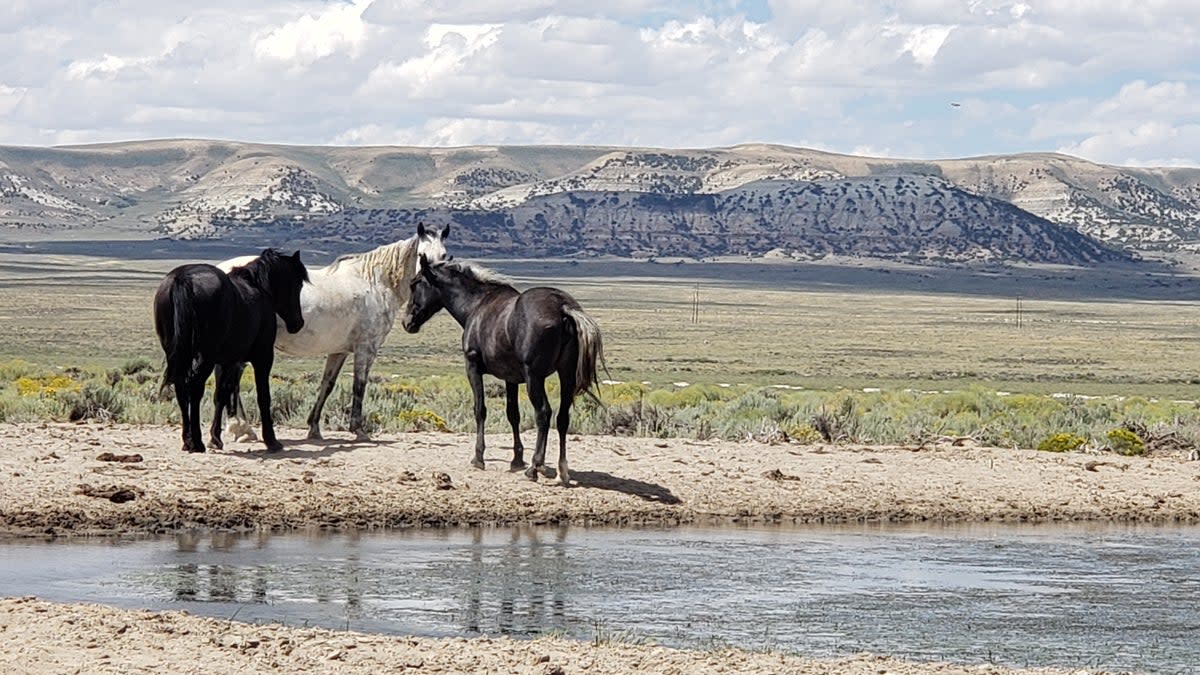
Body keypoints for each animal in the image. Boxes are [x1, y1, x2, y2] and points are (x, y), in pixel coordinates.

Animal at [152, 247, 309, 451]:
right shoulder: (263, 357)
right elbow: (263, 396)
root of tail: (183, 279)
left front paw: (215, 438)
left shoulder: (229, 361)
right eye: (296, 284)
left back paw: (187, 440)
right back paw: (196, 442)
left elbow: (221, 395)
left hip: (180, 354)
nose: (298, 323)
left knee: (181, 387)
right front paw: (271, 440)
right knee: (195, 388)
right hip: (206, 357)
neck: (257, 288)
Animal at [219, 223, 451, 439]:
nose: (431, 283)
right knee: (233, 380)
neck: (376, 283)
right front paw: (358, 430)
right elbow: (359, 385)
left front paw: (313, 428)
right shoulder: (366, 349)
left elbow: (327, 385)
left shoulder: (339, 351)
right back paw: (241, 429)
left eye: (444, 256)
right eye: (421, 255)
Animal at [400, 254, 604, 480]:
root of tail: (563, 308)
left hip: (535, 377)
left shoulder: (473, 368)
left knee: (543, 414)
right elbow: (513, 414)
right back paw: (562, 470)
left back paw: (535, 466)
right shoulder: (511, 378)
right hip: (566, 376)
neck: (476, 305)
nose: (407, 322)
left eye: (414, 284)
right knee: (562, 418)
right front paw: (516, 460)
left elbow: (480, 410)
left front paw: (478, 458)